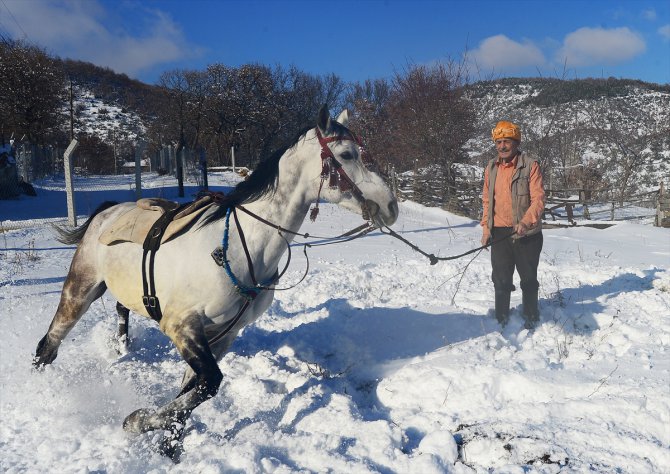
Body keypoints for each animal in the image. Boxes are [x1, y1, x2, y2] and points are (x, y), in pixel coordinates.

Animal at [32, 104, 400, 460]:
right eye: (348, 154)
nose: (391, 206)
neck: (238, 246)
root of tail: (106, 212)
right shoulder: (181, 326)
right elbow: (209, 383)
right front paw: (136, 422)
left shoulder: (222, 335)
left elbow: (193, 390)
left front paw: (170, 446)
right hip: (80, 290)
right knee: (48, 345)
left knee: (118, 312)